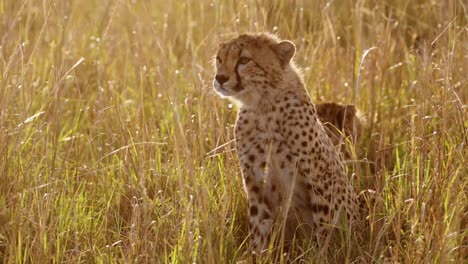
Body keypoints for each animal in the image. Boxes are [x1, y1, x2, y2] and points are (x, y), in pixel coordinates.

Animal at [214, 33, 360, 254]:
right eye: (219, 59)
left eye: (244, 60)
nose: (220, 78)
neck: (263, 106)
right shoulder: (257, 184)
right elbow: (259, 226)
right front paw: (257, 255)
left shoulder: (320, 179)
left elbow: (324, 226)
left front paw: (320, 255)